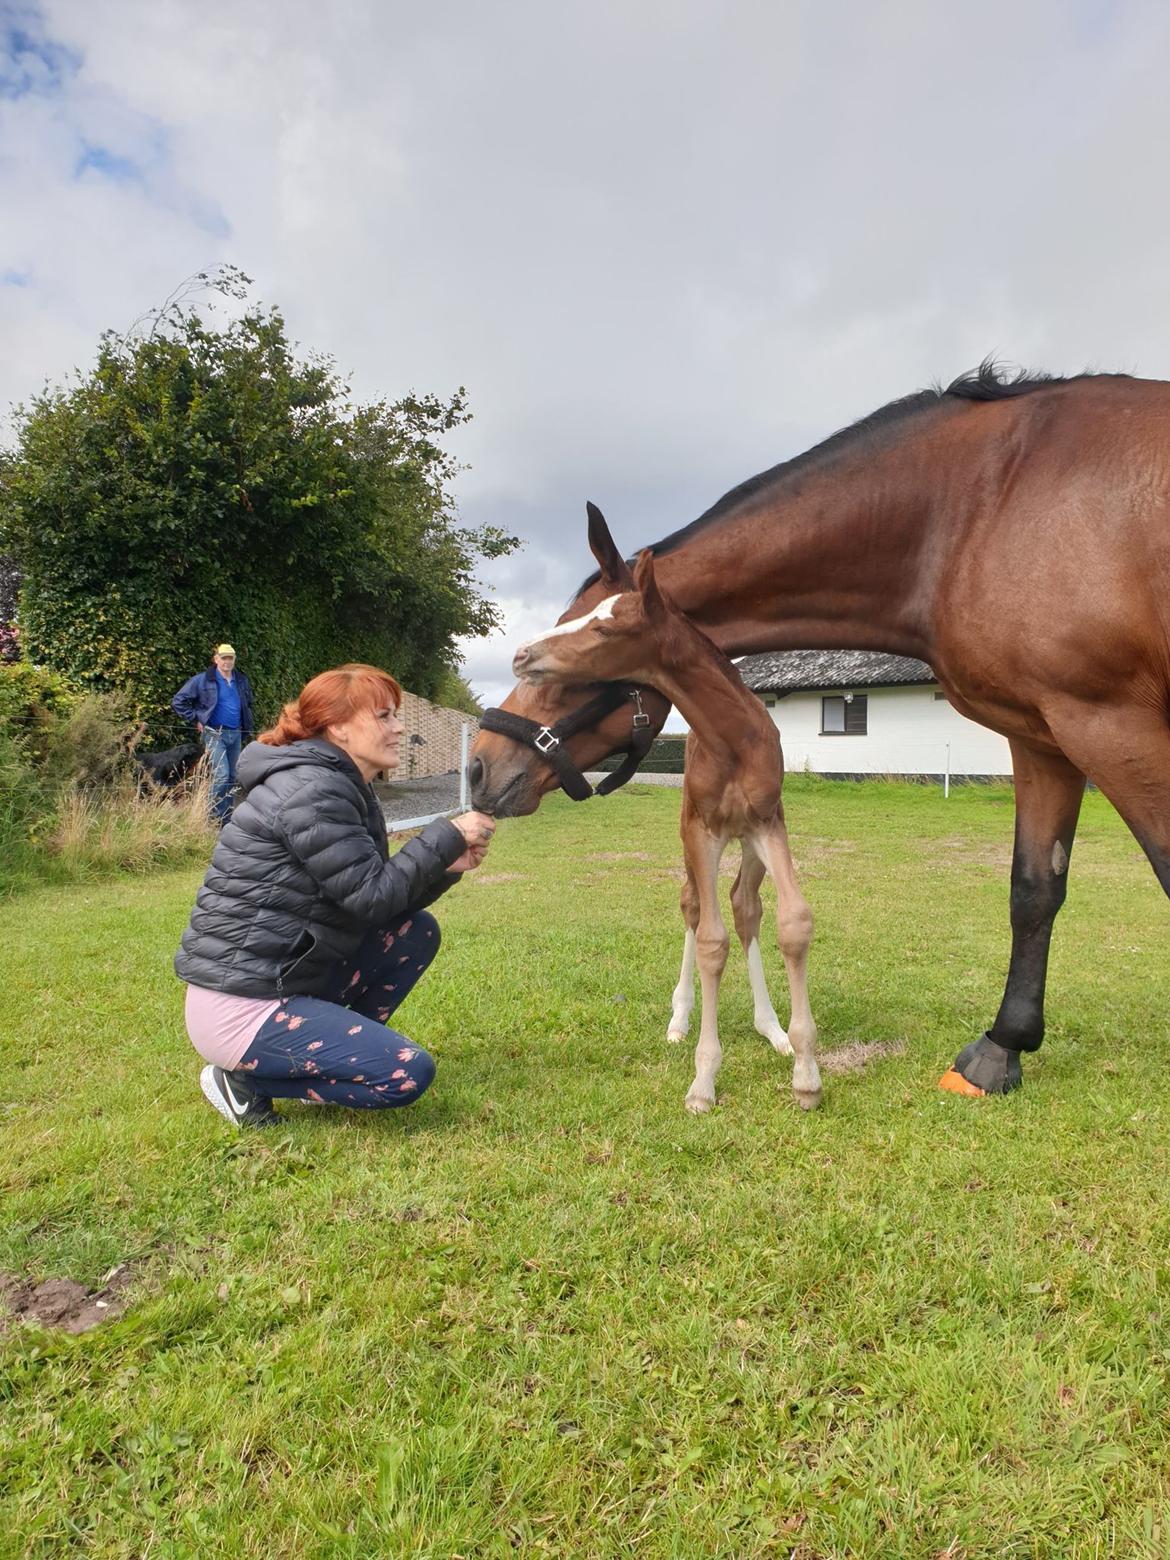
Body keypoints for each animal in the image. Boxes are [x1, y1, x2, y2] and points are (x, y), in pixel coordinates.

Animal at [511, 533, 823, 1110]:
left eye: (604, 627)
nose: (522, 654)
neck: (733, 737)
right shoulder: (701, 830)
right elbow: (710, 942)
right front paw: (703, 1081)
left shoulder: (768, 823)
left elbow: (793, 922)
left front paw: (806, 1073)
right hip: (694, 833)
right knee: (694, 906)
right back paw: (680, 1018)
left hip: (747, 842)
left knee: (744, 906)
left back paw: (770, 1027)